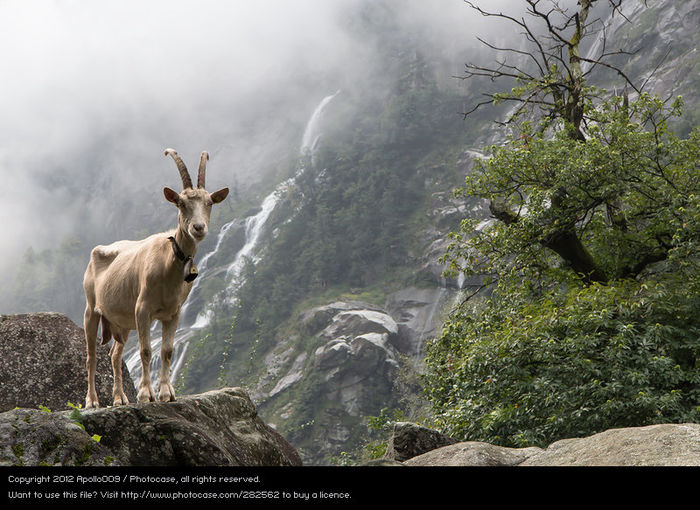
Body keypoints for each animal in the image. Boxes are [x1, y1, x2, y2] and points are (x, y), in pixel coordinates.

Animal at [83, 147, 228, 406]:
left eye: (210, 202)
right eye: (180, 203)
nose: (198, 228)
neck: (168, 262)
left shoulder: (173, 313)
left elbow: (167, 351)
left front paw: (167, 393)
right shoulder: (142, 309)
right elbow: (146, 350)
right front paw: (145, 394)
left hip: (122, 320)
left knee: (114, 354)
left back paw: (120, 398)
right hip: (91, 308)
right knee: (91, 356)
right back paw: (92, 401)